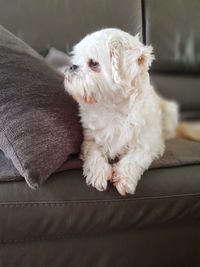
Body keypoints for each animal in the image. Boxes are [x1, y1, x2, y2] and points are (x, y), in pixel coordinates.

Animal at [64, 29, 180, 196]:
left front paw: (123, 178)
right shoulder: (90, 140)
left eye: (93, 64)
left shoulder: (149, 144)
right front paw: (98, 173)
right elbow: (94, 154)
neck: (113, 109)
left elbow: (135, 158)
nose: (72, 67)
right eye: (76, 60)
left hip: (170, 112)